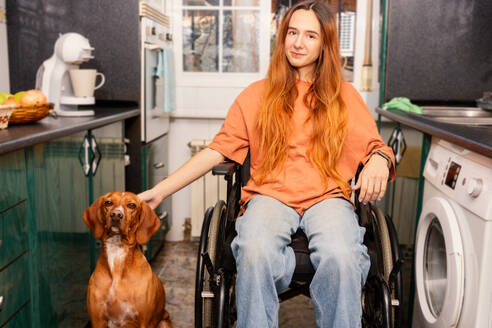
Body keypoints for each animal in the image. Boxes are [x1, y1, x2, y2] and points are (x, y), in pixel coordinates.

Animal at [81, 191, 172, 326]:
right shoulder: (97, 321)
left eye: (131, 205)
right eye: (108, 202)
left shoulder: (144, 322)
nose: (116, 215)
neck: (117, 251)